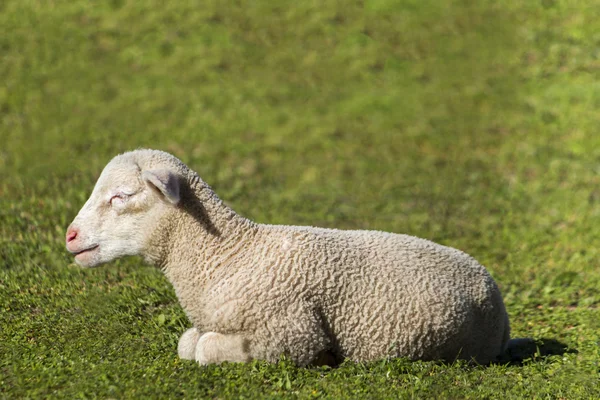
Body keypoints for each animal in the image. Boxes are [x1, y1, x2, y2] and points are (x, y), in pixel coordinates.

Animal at [65, 148, 508, 366]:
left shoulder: (291, 332)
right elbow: (188, 342)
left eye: (121, 196)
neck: (228, 255)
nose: (70, 236)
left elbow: (203, 349)